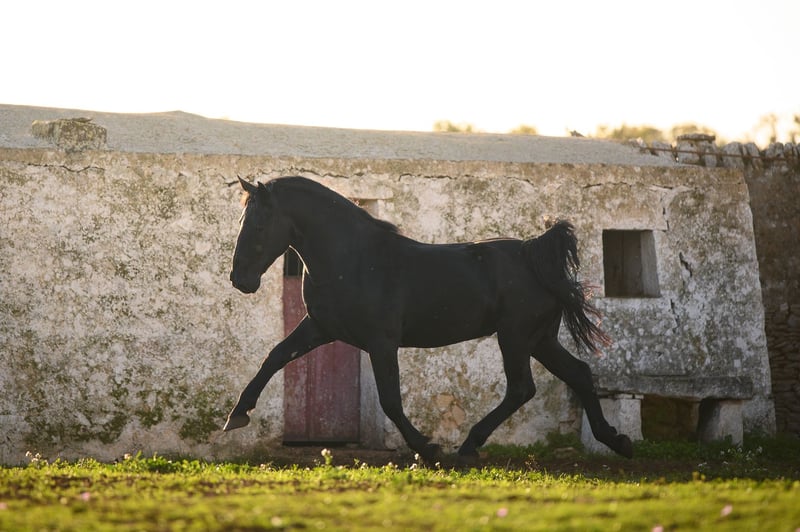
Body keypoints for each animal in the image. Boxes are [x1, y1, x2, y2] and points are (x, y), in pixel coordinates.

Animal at [223, 176, 633, 462]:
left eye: (257, 224)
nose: (240, 279)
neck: (355, 261)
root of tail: (535, 254)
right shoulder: (320, 328)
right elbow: (274, 357)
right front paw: (236, 416)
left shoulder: (381, 342)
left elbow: (390, 400)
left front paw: (428, 448)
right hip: (540, 338)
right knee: (578, 373)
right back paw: (617, 440)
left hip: (515, 336)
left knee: (522, 388)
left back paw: (468, 446)